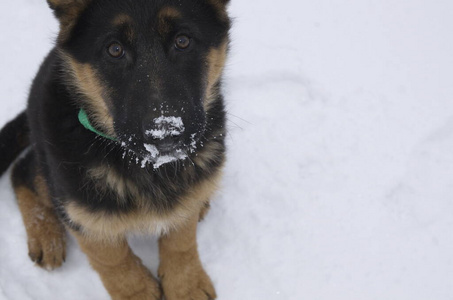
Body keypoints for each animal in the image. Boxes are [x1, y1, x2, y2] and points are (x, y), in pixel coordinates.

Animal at [0, 1, 230, 298]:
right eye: (114, 49)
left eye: (183, 41)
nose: (165, 133)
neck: (146, 167)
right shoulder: (83, 211)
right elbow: (112, 258)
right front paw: (138, 291)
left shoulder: (186, 193)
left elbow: (181, 239)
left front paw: (185, 285)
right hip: (49, 167)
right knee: (23, 171)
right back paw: (46, 236)